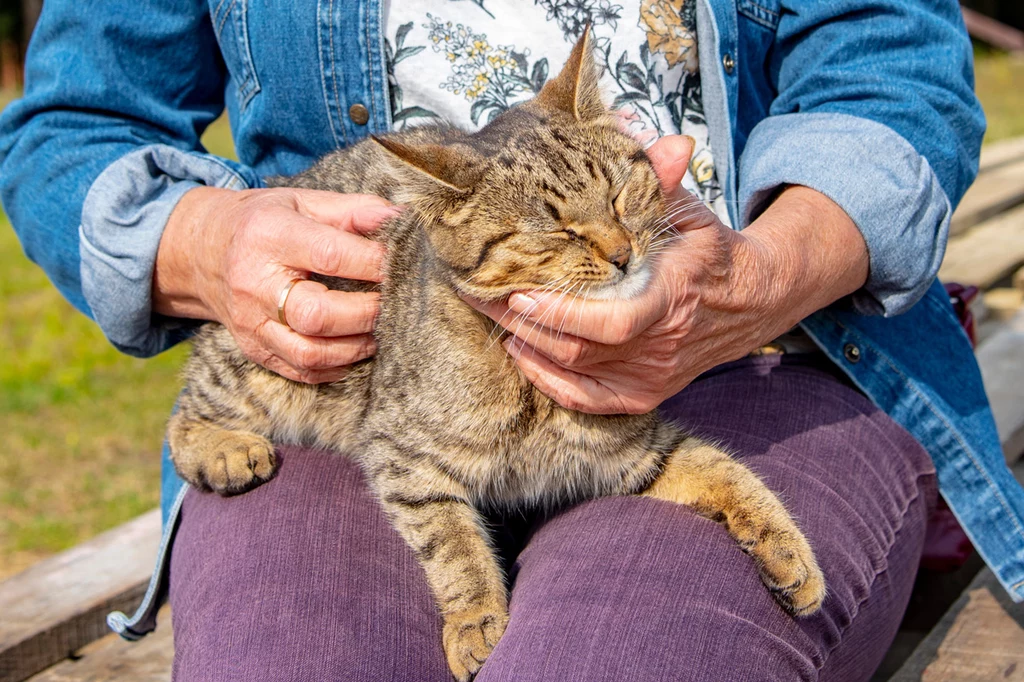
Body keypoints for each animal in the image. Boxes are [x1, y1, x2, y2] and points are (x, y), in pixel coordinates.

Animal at [167, 29, 823, 675]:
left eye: (618, 195)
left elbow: (726, 469)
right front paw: (476, 619)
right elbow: (451, 541)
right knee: (185, 412)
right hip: (253, 367)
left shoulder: (636, 455)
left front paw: (791, 552)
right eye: (558, 230)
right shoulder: (399, 455)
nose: (621, 255)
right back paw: (226, 451)